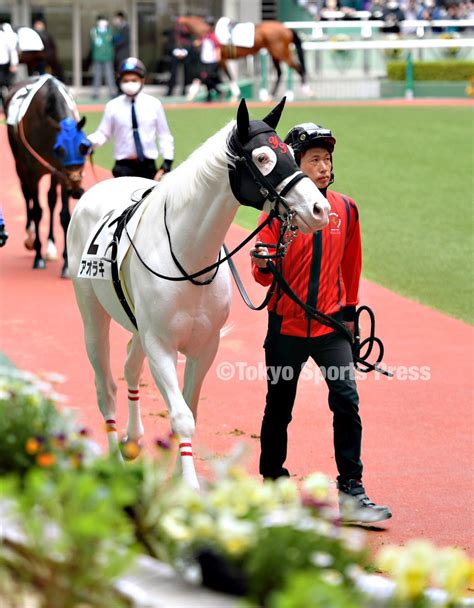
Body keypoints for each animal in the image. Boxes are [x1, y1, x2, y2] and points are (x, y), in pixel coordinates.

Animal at [5, 75, 90, 276]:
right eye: (60, 149)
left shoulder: (62, 173)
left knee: (51, 199)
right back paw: (30, 236)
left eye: (84, 146)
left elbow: (64, 214)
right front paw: (38, 257)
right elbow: (37, 210)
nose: (77, 190)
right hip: (19, 164)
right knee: (26, 193)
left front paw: (66, 265)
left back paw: (51, 247)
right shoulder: (33, 171)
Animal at [66, 100, 330, 490]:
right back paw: (114, 457)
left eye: (290, 153)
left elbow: (191, 407)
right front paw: (188, 485)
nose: (319, 209)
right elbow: (181, 416)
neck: (187, 256)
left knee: (130, 367)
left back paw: (133, 439)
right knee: (106, 386)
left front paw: (179, 476)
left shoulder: (205, 345)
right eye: (263, 157)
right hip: (91, 315)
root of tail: (97, 190)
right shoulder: (161, 344)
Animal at [179, 16, 308, 98]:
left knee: (298, 68)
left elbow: (226, 75)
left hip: (281, 53)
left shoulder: (221, 59)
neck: (210, 31)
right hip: (275, 54)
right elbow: (207, 75)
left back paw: (308, 91)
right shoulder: (218, 60)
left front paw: (234, 93)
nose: (180, 50)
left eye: (177, 30)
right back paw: (271, 95)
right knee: (280, 73)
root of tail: (286, 28)